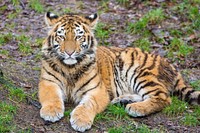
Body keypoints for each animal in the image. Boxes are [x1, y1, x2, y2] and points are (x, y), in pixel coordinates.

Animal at [38, 11, 200, 132]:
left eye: (79, 37)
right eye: (61, 36)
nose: (70, 53)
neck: (70, 67)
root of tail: (171, 65)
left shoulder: (97, 90)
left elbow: (88, 104)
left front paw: (81, 121)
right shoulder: (48, 82)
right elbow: (51, 97)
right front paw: (51, 112)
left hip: (140, 73)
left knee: (163, 97)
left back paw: (135, 108)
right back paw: (123, 100)